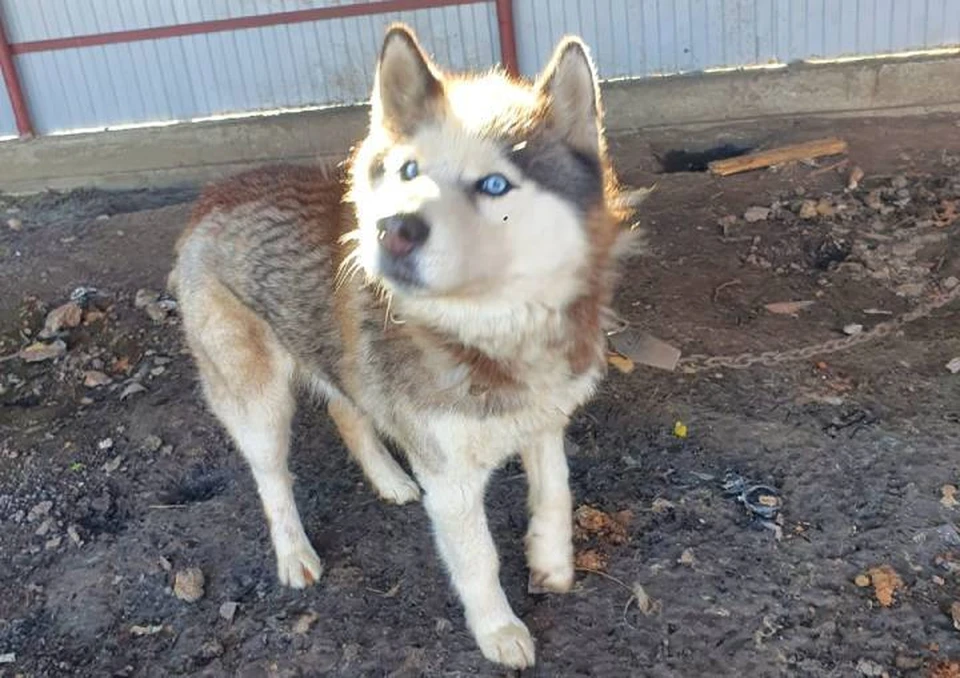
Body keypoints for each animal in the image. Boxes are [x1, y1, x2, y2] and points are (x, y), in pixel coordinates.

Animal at [172, 25, 632, 668]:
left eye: (494, 184)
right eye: (409, 171)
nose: (392, 230)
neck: (493, 336)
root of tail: (214, 192)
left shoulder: (546, 420)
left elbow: (556, 492)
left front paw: (551, 561)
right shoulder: (452, 481)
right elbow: (479, 559)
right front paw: (498, 629)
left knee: (346, 408)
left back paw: (389, 479)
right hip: (255, 399)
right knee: (272, 477)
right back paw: (293, 553)